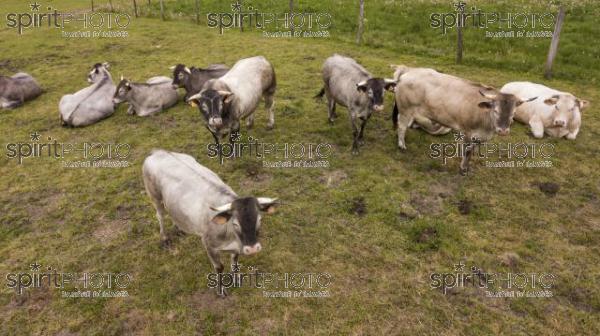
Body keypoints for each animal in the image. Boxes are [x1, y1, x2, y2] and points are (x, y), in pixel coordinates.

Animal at [143, 148, 278, 296]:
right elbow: (219, 267)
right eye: (235, 223)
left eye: (260, 219)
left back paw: (178, 229)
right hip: (154, 196)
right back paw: (165, 238)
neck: (230, 235)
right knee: (160, 215)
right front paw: (221, 290)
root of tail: (159, 152)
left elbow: (235, 261)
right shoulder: (208, 244)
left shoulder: (237, 246)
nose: (253, 248)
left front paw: (236, 279)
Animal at [392, 66, 536, 176]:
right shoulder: (467, 132)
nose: (503, 131)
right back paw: (401, 145)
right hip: (405, 109)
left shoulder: (479, 137)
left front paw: (466, 167)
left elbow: (471, 152)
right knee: (401, 126)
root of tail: (409, 71)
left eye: (513, 113)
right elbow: (467, 151)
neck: (486, 124)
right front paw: (462, 169)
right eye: (495, 111)